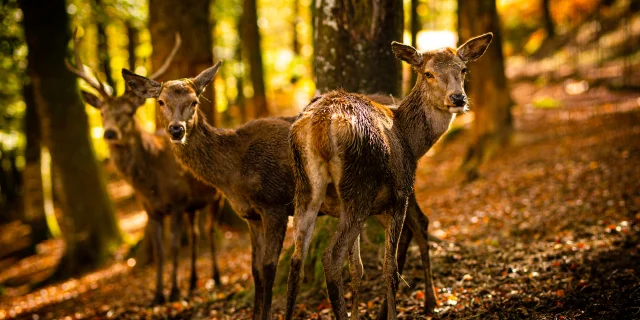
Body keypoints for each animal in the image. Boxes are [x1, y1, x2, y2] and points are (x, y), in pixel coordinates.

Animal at [65, 30, 225, 304]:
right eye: (102, 113)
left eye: (129, 112)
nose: (109, 133)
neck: (149, 184)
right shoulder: (151, 210)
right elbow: (160, 251)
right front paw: (158, 294)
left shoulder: (178, 202)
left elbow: (174, 247)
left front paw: (173, 291)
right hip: (193, 206)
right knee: (195, 235)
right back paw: (193, 282)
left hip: (216, 198)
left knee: (209, 231)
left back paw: (214, 277)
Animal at [121, 63, 444, 320]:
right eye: (160, 102)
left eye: (194, 101)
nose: (176, 130)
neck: (232, 173)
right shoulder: (250, 217)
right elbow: (254, 271)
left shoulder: (274, 206)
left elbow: (268, 268)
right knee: (411, 226)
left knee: (419, 222)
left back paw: (430, 302)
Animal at [290, 33, 496, 320]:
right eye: (428, 73)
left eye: (463, 69)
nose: (458, 98)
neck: (411, 141)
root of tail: (321, 123)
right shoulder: (399, 195)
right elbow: (390, 269)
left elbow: (357, 269)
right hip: (359, 187)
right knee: (331, 257)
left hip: (306, 188)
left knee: (296, 260)